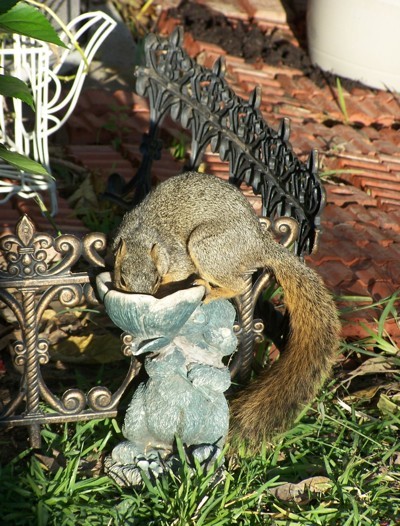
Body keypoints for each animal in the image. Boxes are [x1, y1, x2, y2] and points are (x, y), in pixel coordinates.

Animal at [111, 172, 340, 450]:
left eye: (155, 279)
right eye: (123, 279)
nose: (143, 299)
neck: (141, 238)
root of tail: (260, 244)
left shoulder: (179, 260)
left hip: (209, 249)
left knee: (238, 284)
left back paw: (210, 292)